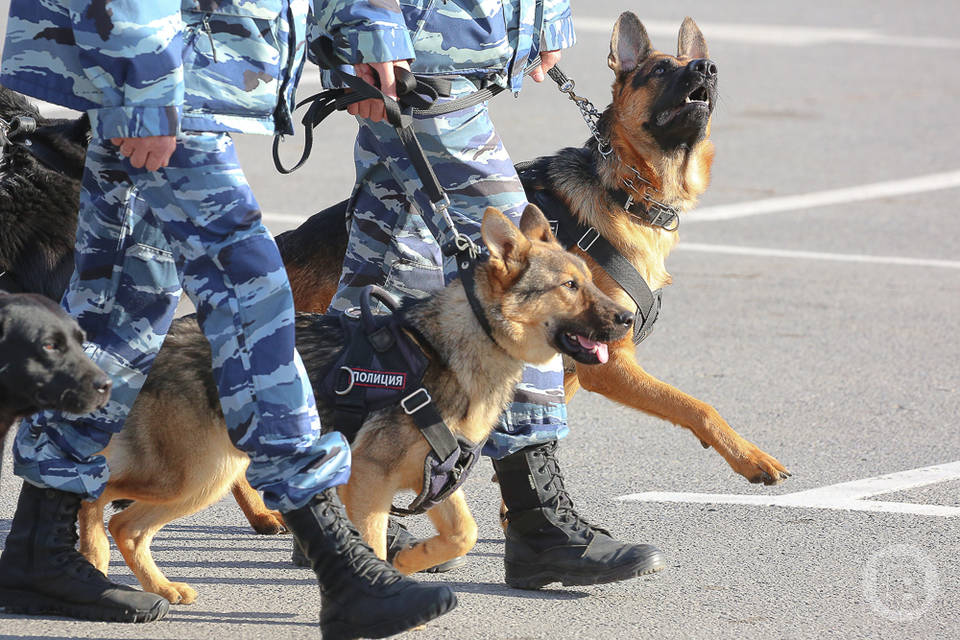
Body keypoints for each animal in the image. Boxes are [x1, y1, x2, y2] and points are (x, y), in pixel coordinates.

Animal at [75, 206, 632, 604]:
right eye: (570, 286)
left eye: (587, 278)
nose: (628, 318)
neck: (454, 346)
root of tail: (159, 343)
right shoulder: (370, 479)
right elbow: (379, 539)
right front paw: (389, 581)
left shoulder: (436, 477)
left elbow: (464, 535)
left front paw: (409, 564)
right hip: (193, 476)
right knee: (100, 496)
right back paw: (94, 557)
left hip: (202, 478)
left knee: (126, 522)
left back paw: (148, 582)